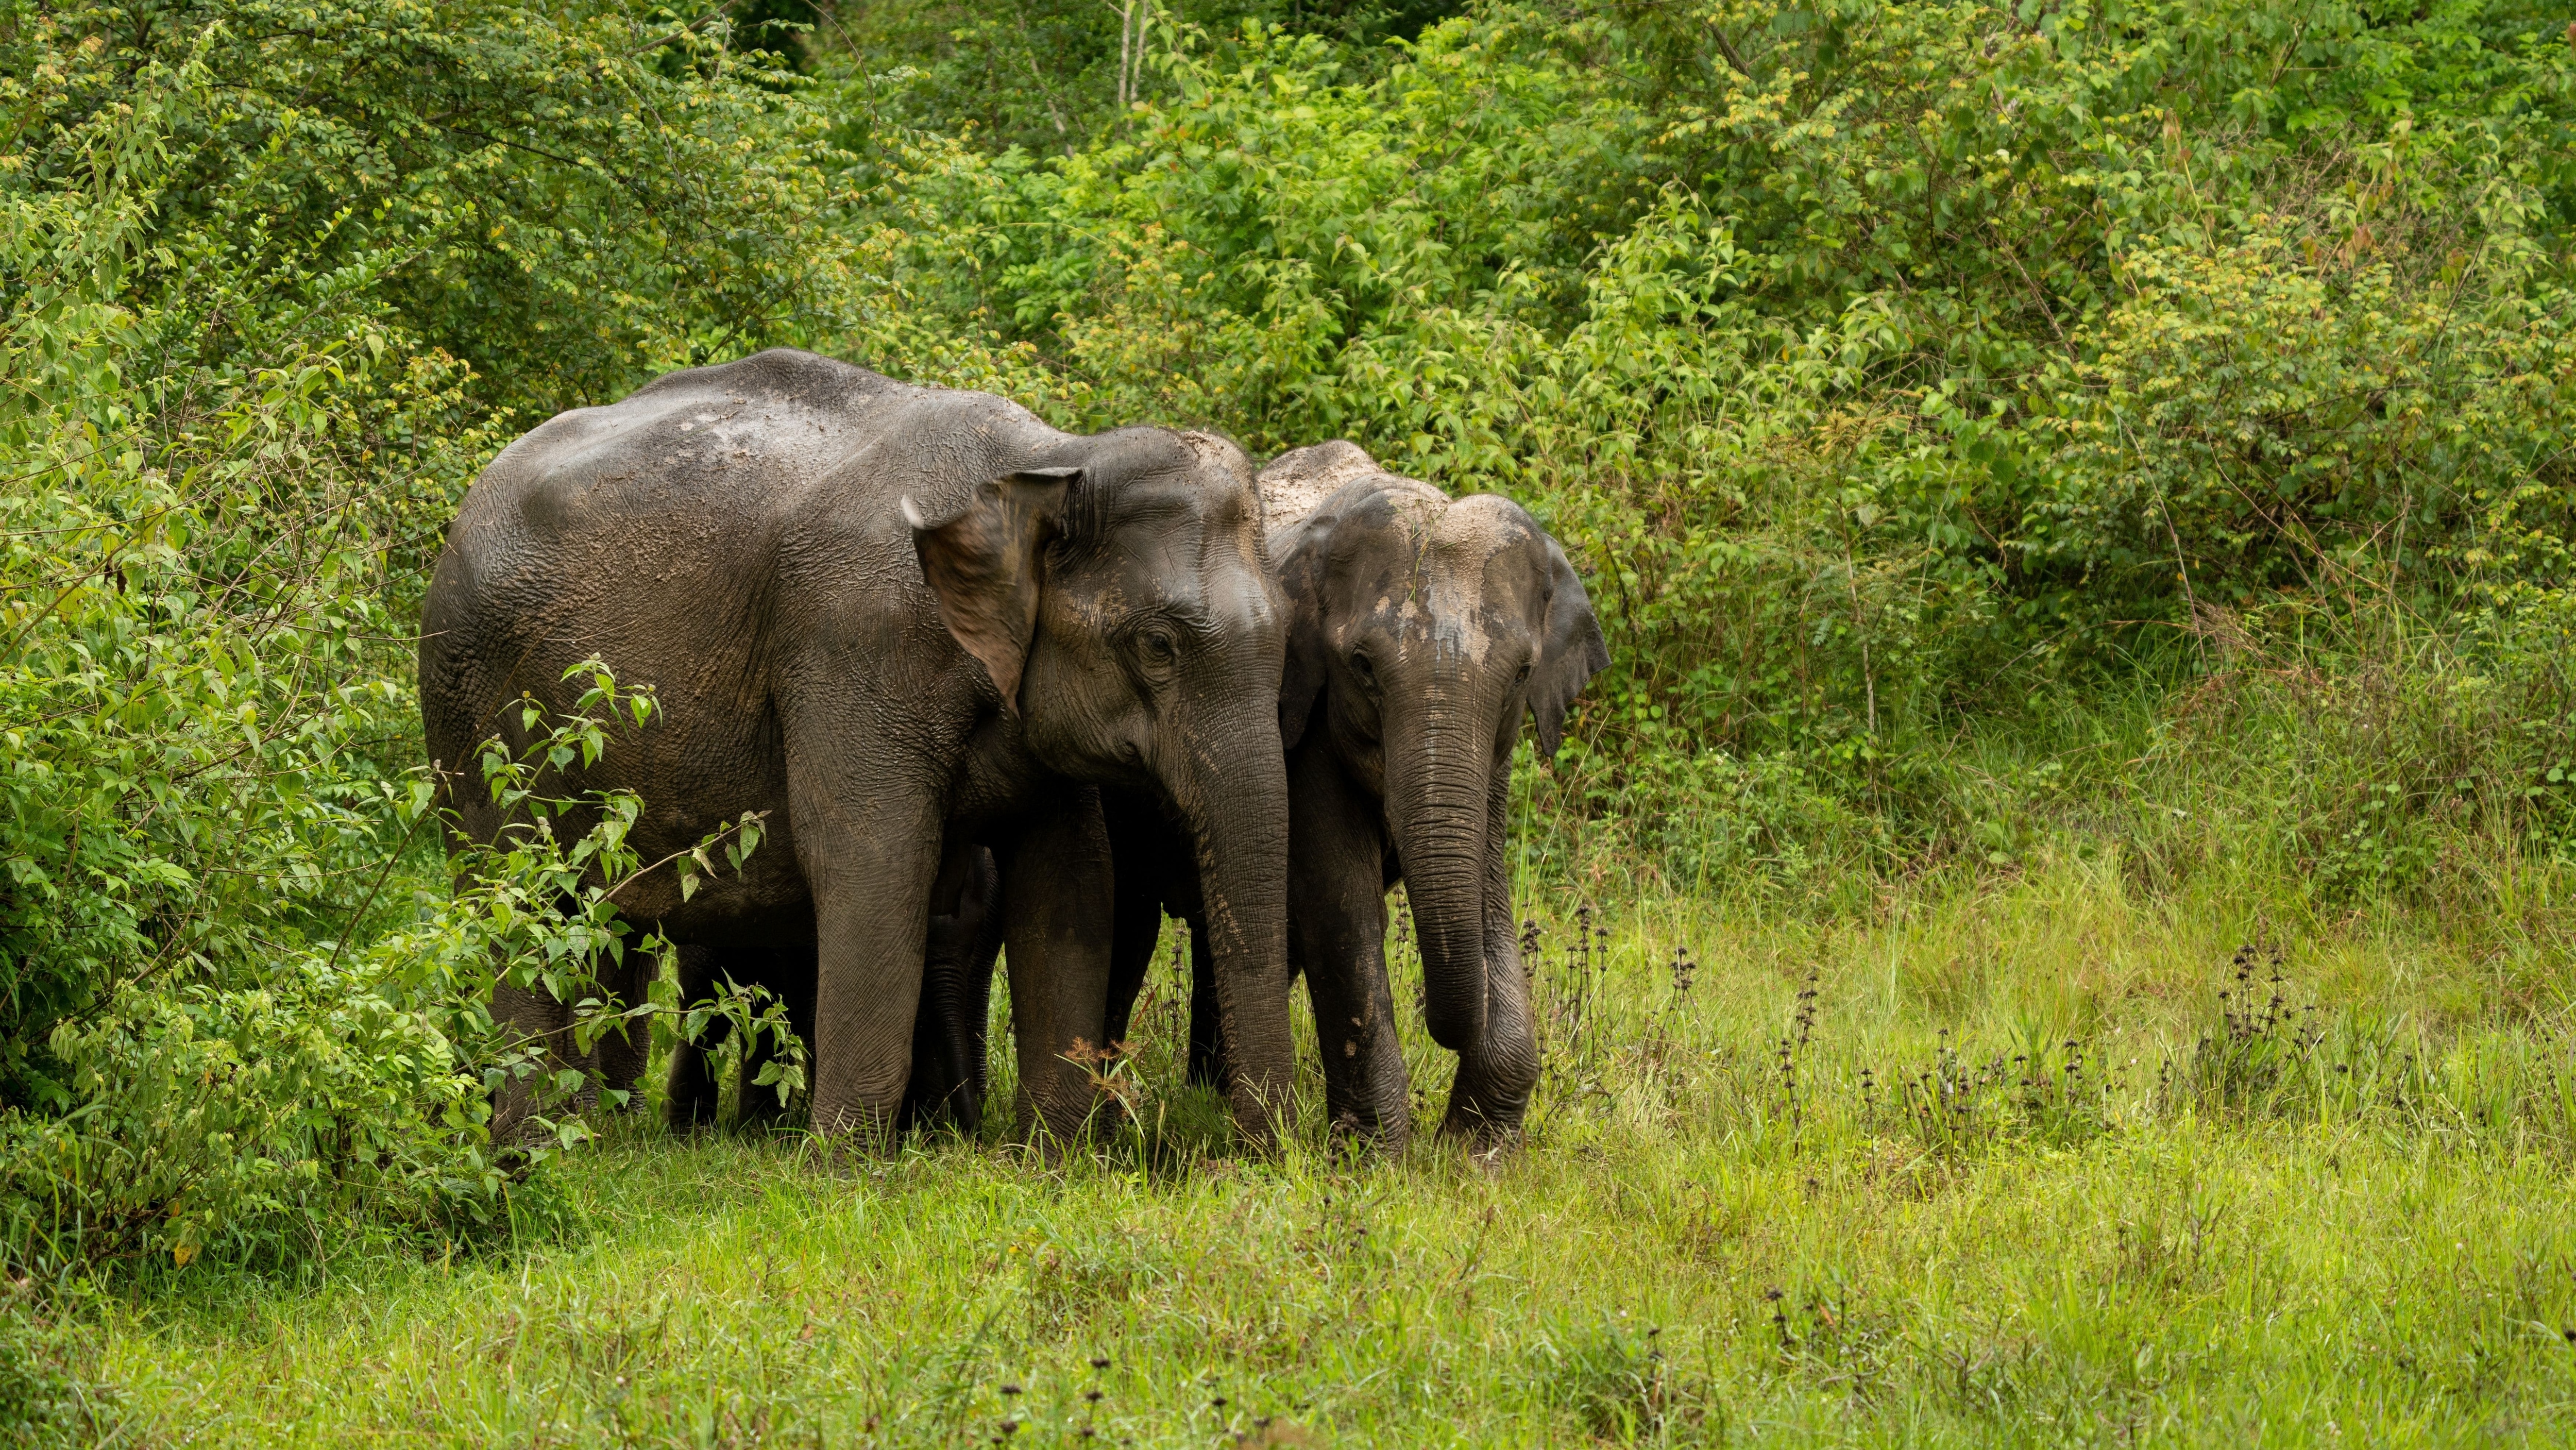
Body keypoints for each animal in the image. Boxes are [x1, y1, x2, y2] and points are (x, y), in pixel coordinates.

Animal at [419, 348, 1297, 1147]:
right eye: (1158, 645)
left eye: (1288, 631)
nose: (1252, 1156)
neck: (1049, 461)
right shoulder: (854, 643)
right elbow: (872, 856)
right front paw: (844, 1170)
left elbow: (1071, 879)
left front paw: (1056, 1159)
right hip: (469, 708)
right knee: (516, 891)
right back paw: (531, 1148)